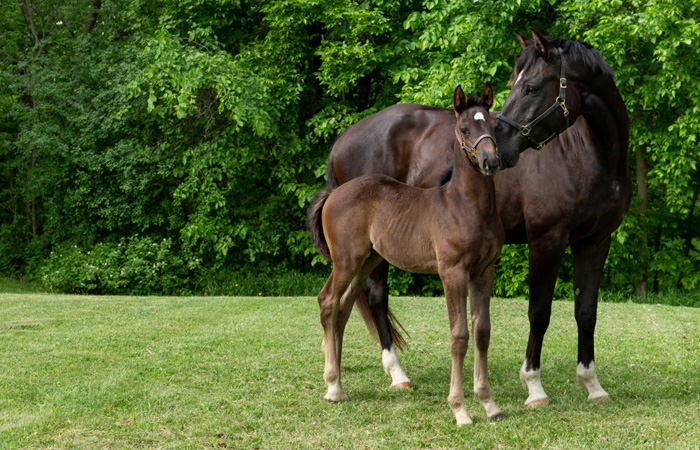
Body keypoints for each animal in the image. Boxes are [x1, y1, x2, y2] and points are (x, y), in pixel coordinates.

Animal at [307, 84, 504, 425]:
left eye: (492, 125)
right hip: (346, 260)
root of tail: (333, 193)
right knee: (328, 301)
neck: (464, 205)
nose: (489, 161)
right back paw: (333, 385)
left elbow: (482, 332)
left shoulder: (484, 271)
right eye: (464, 128)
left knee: (343, 307)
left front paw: (489, 404)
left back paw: (339, 385)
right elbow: (459, 336)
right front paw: (460, 409)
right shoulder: (452, 272)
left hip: (367, 260)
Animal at [324, 31, 631, 407]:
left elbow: (586, 312)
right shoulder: (547, 240)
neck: (589, 155)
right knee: (376, 297)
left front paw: (592, 383)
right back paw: (396, 374)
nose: (501, 150)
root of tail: (343, 139)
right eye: (515, 83)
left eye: (531, 87)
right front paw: (534, 385)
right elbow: (539, 312)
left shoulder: (595, 241)